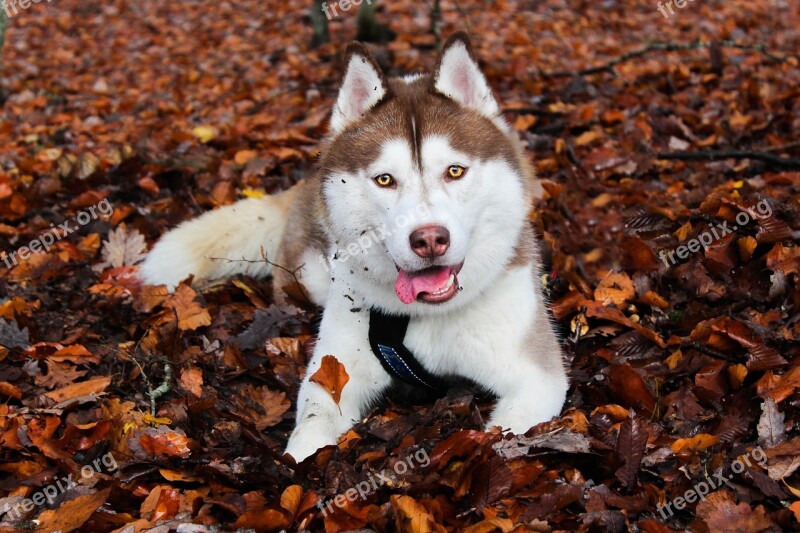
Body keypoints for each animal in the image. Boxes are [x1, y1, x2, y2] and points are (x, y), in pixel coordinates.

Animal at [142, 33, 568, 460]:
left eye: (455, 171)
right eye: (385, 179)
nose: (429, 239)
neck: (428, 316)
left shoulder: (538, 377)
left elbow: (507, 432)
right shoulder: (334, 371)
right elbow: (311, 428)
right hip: (311, 277)